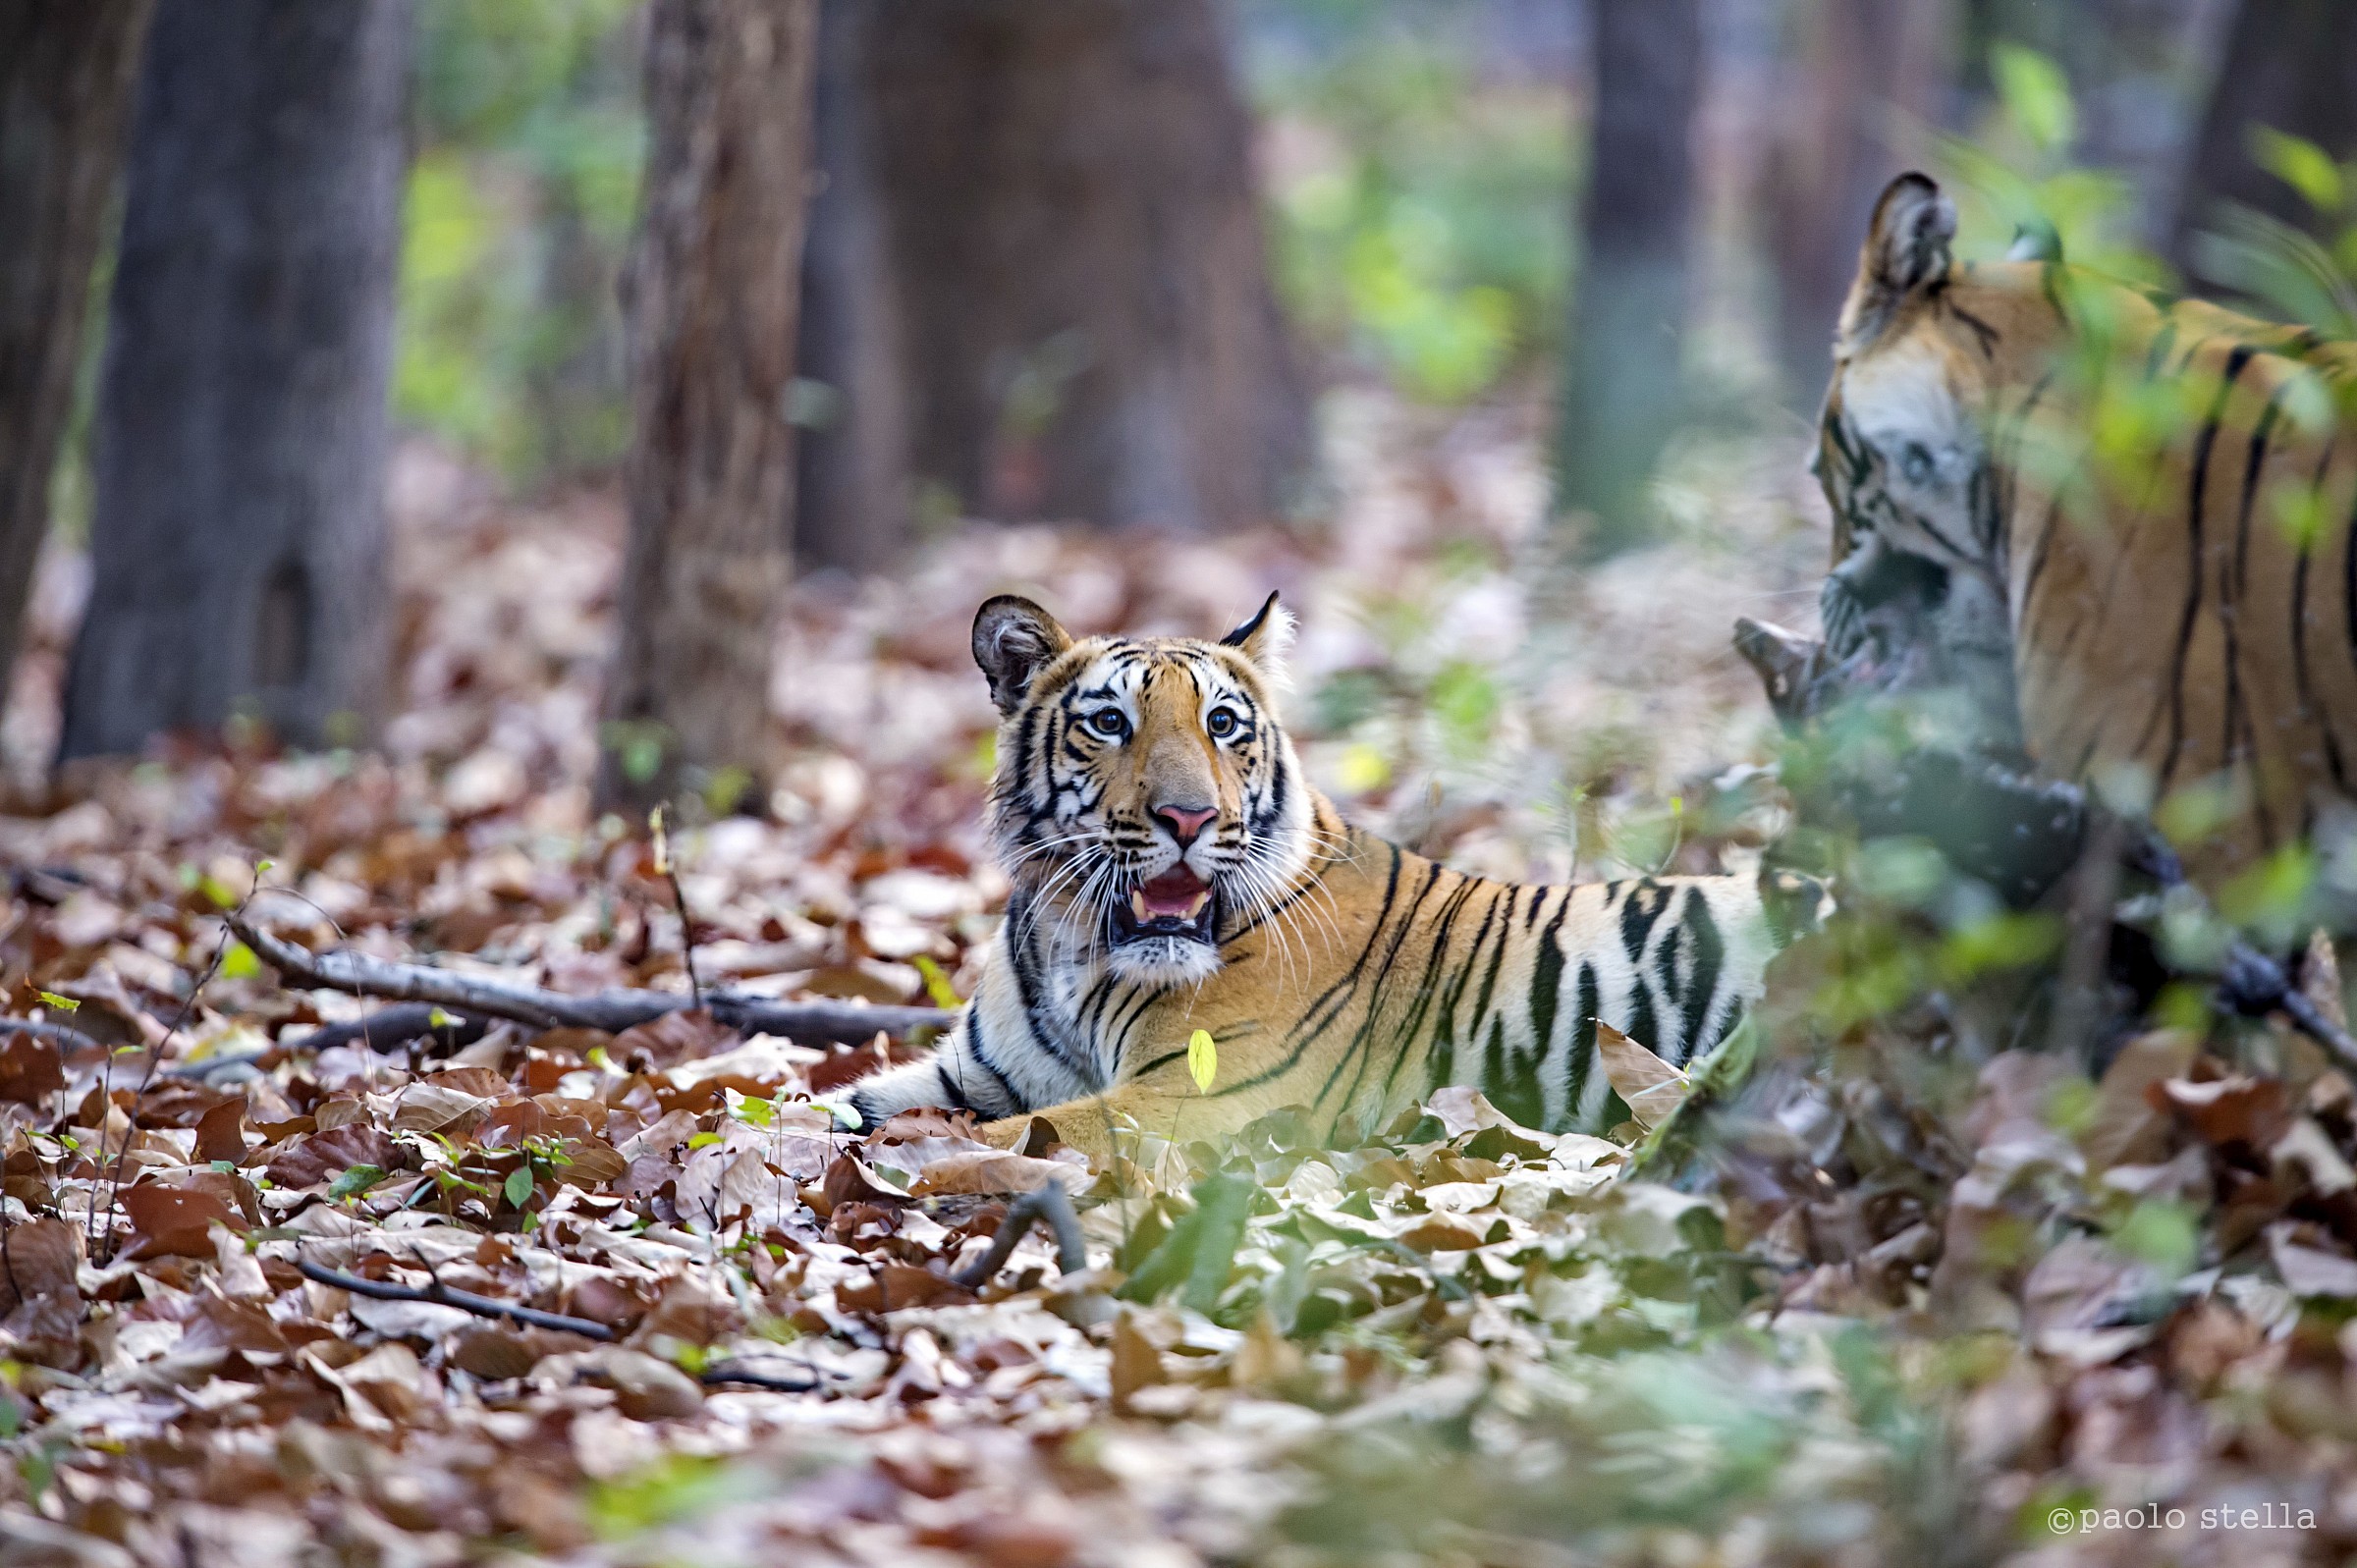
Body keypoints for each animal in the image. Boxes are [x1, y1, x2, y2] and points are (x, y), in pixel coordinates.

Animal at [842, 592, 1830, 1160]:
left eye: (1224, 723)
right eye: (1111, 722)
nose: (1188, 818)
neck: (1073, 943)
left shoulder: (1186, 1098)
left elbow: (997, 1140)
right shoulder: (976, 1074)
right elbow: (833, 1105)